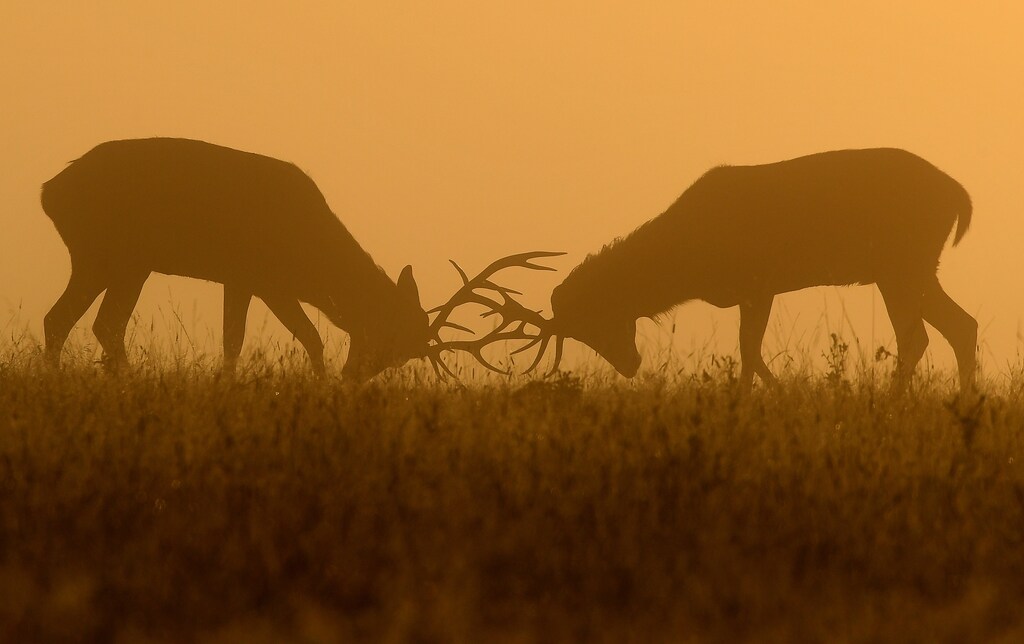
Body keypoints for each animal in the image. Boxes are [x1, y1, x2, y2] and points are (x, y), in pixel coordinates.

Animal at [40, 137, 562, 381]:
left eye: (403, 355)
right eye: (385, 333)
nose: (354, 379)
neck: (312, 259)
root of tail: (49, 192)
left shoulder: (255, 281)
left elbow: (267, 339)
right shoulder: (256, 275)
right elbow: (278, 338)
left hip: (125, 262)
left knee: (91, 322)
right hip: (107, 253)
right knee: (72, 320)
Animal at [495, 148, 978, 391]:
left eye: (597, 318)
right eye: (583, 333)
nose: (629, 365)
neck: (690, 261)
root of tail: (959, 195)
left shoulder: (757, 283)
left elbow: (749, 354)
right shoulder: (755, 291)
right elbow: (750, 352)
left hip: (903, 265)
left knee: (918, 337)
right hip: (911, 269)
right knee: (961, 325)